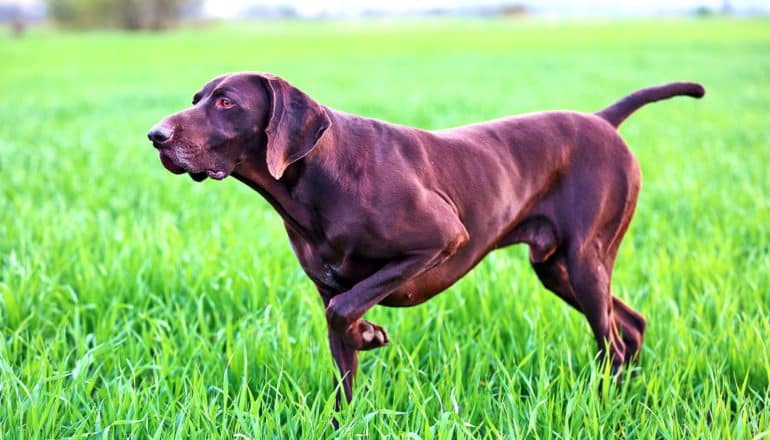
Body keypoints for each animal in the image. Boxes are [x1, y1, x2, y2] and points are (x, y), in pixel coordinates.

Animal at [148, 73, 704, 406]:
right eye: (196, 99)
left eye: (226, 102)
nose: (156, 136)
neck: (318, 177)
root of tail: (602, 121)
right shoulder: (327, 287)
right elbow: (342, 344)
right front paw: (358, 363)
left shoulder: (440, 240)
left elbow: (347, 307)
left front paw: (369, 333)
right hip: (560, 269)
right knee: (630, 326)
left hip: (585, 261)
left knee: (612, 340)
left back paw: (605, 399)